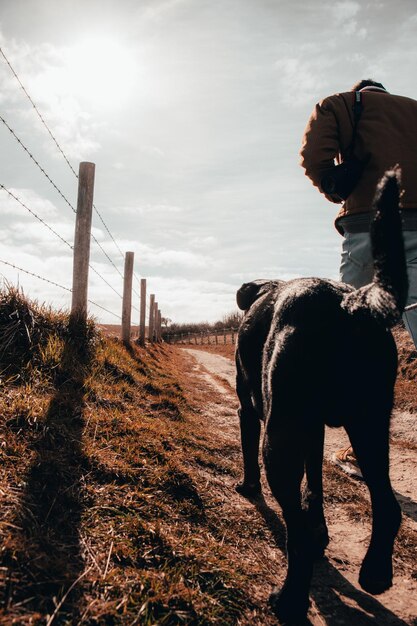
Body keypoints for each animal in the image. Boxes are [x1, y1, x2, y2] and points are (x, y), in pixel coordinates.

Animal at [234, 169, 406, 620]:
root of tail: (350, 302)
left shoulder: (252, 412)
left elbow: (249, 455)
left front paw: (248, 487)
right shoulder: (314, 433)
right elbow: (315, 485)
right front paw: (321, 526)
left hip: (280, 438)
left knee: (292, 530)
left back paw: (291, 598)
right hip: (370, 426)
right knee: (387, 505)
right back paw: (375, 573)